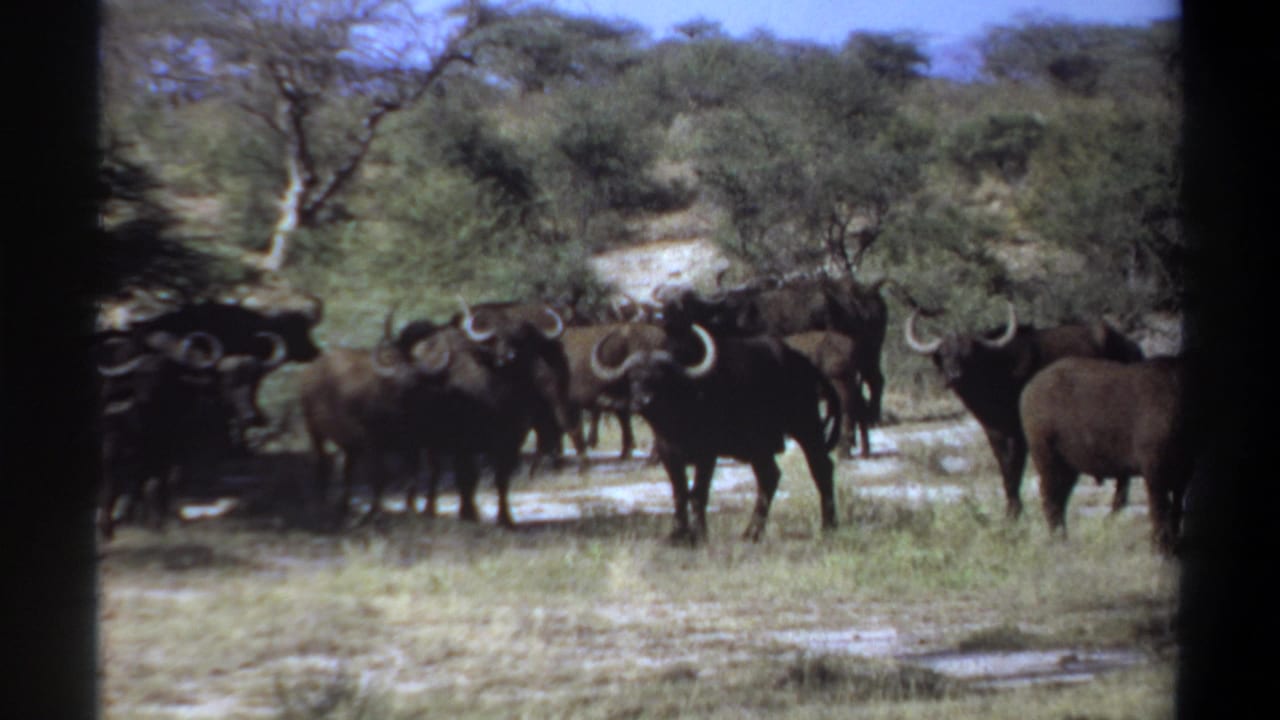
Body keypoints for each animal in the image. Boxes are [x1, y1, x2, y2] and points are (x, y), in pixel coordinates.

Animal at [590, 323, 842, 544]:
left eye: (661, 376)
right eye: (633, 378)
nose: (643, 401)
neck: (676, 422)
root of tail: (804, 364)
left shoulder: (707, 454)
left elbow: (698, 493)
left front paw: (698, 534)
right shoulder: (668, 454)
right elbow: (680, 493)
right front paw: (677, 534)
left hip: (806, 426)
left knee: (821, 468)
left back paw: (828, 525)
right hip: (759, 446)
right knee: (769, 476)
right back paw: (752, 533)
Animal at [905, 302, 1146, 517]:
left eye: (969, 353)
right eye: (944, 353)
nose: (954, 375)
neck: (998, 371)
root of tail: (1133, 348)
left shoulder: (1019, 435)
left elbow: (1014, 471)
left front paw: (1015, 512)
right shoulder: (995, 434)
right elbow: (1006, 471)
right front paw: (1011, 513)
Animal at [1020, 356, 1190, 553]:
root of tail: (1030, 387)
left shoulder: (1184, 473)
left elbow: (1176, 510)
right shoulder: (1155, 471)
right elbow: (1160, 510)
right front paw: (1160, 547)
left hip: (1068, 467)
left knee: (1059, 499)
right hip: (1048, 459)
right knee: (1051, 500)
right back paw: (1059, 540)